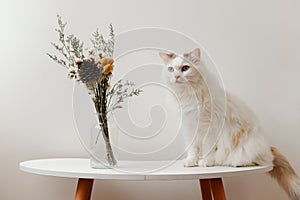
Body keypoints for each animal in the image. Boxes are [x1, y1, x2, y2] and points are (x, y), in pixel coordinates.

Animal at [159, 48, 300, 198]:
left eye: (185, 68)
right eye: (171, 69)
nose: (176, 76)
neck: (188, 96)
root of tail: (268, 147)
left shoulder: (210, 127)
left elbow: (208, 148)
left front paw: (206, 162)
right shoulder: (190, 128)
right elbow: (193, 149)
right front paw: (191, 161)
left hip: (249, 145)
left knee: (257, 160)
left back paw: (236, 163)